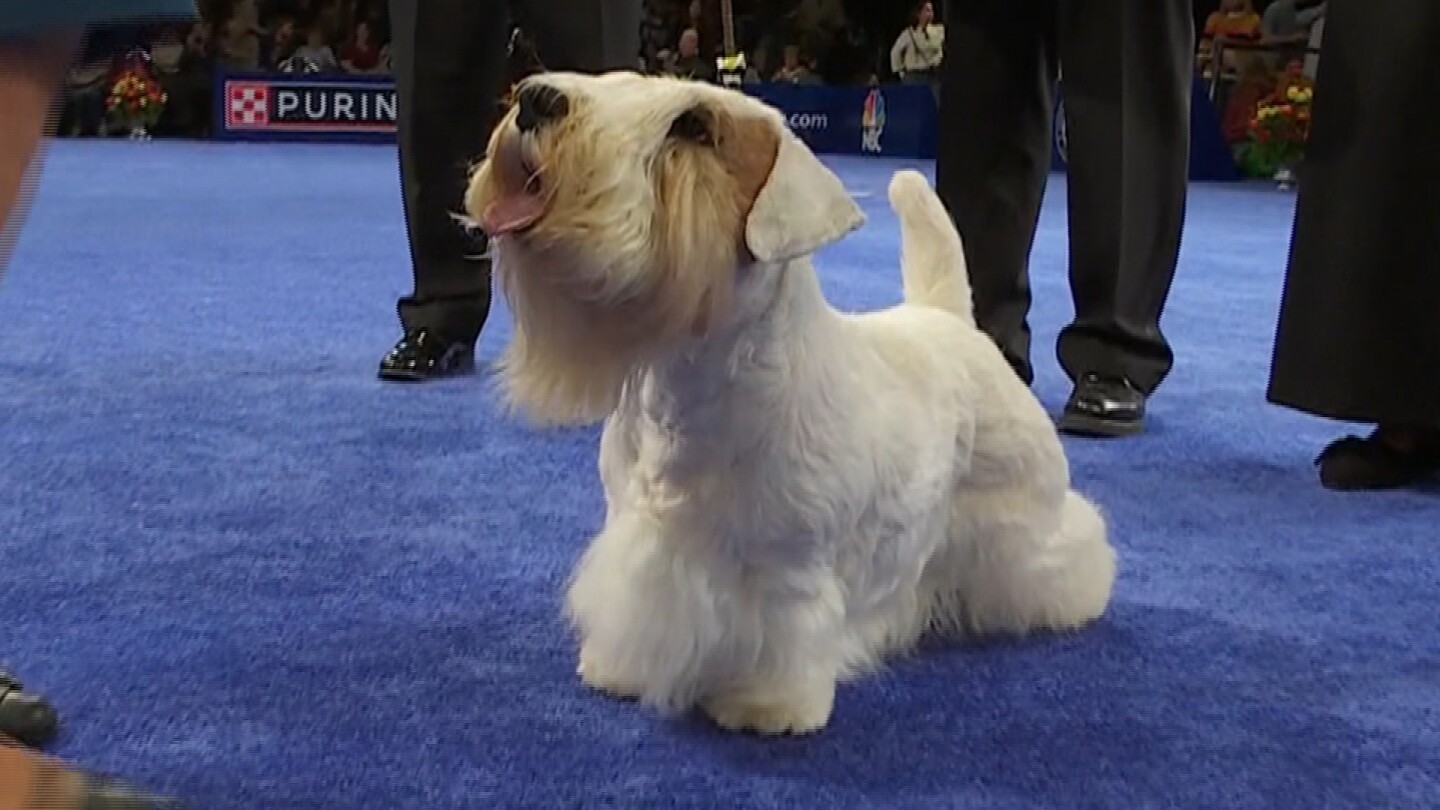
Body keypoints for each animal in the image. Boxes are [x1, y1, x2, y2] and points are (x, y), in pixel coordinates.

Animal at [466, 72, 1117, 735]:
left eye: (693, 127)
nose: (535, 99)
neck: (693, 383)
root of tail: (949, 317)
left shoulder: (788, 569)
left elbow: (783, 635)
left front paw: (764, 705)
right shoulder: (633, 532)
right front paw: (614, 668)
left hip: (1025, 510)